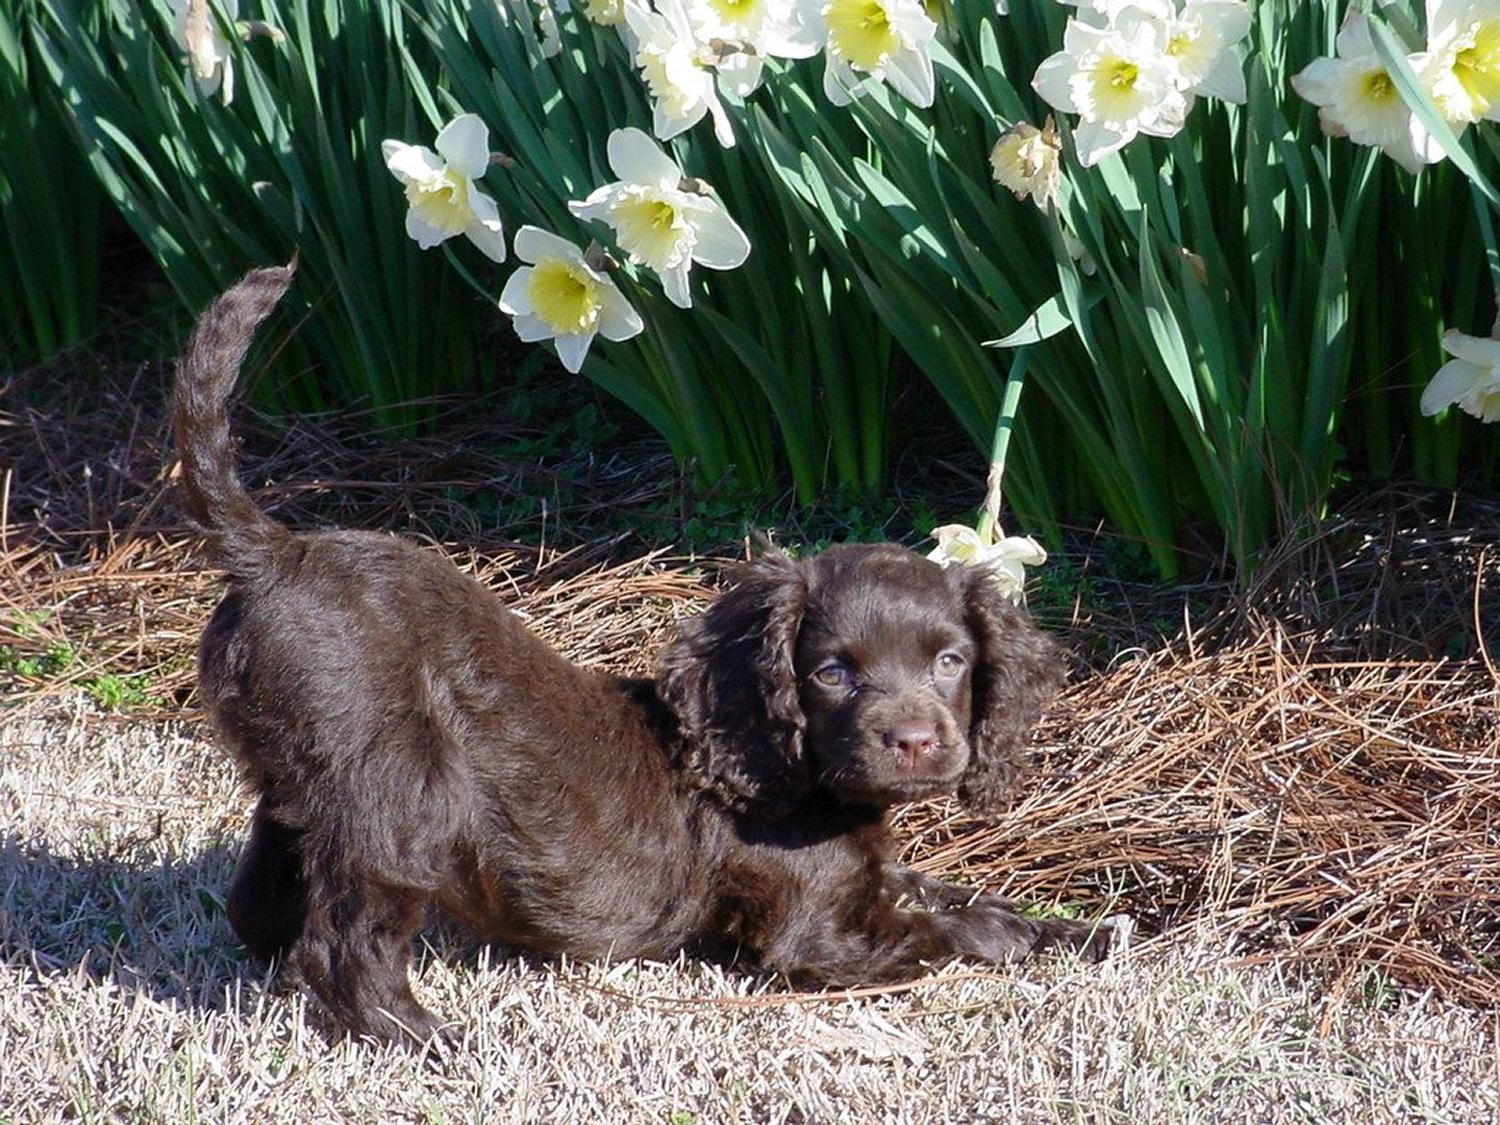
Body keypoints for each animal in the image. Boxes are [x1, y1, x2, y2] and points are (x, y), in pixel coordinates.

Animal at [175, 262, 1116, 1050]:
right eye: (831, 673)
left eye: (952, 662)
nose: (915, 742)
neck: (790, 773)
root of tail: (275, 552)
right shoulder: (816, 933)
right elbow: (940, 928)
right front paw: (1012, 934)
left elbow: (947, 890)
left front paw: (1082, 929)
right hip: (400, 788)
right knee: (344, 940)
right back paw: (423, 1036)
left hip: (303, 776)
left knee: (262, 895)